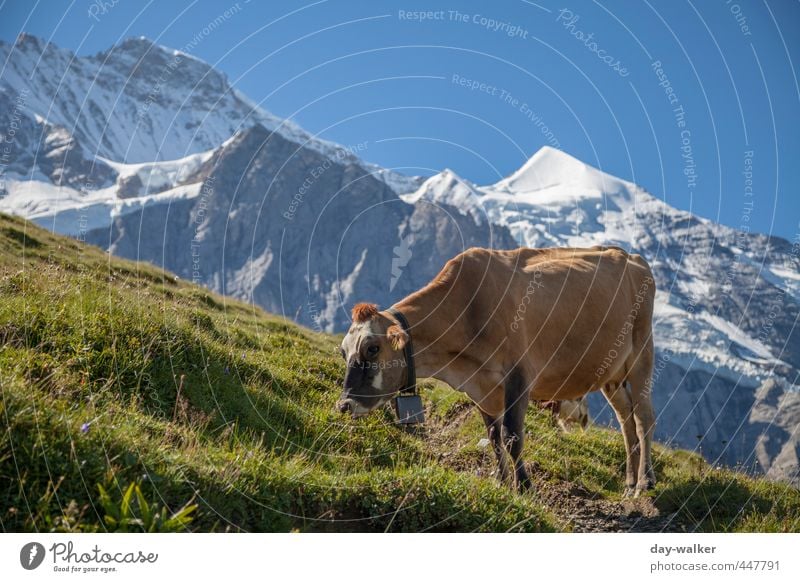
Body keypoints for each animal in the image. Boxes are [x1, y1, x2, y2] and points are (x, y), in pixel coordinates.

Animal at [338, 246, 656, 498]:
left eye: (372, 349)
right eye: (343, 351)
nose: (344, 405)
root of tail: (631, 257)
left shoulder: (519, 375)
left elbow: (512, 436)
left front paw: (524, 487)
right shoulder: (483, 387)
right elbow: (493, 437)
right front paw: (502, 482)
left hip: (642, 355)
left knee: (643, 419)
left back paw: (645, 482)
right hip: (612, 375)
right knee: (626, 420)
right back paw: (629, 482)